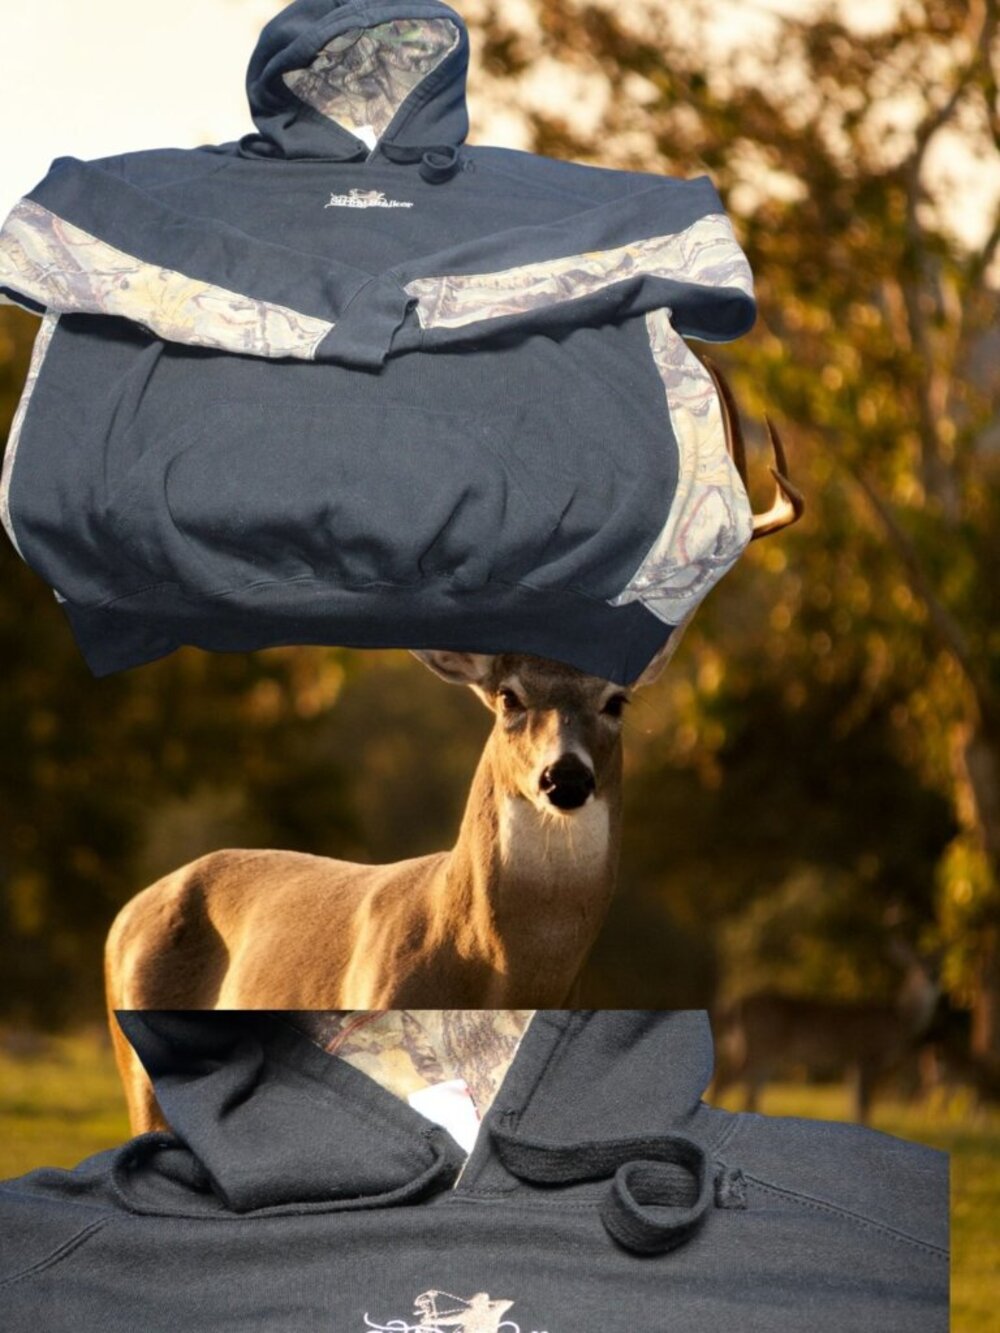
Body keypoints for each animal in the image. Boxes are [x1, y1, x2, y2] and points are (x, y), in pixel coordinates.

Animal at [105, 359, 803, 1132]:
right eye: (509, 698)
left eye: (616, 700)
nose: (565, 778)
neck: (493, 970)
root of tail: (125, 915)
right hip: (137, 1075)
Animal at [711, 940, 941, 1124]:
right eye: (917, 964)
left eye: (938, 964)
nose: (933, 977)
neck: (899, 1018)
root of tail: (734, 1006)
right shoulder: (867, 1055)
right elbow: (864, 1104)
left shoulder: (852, 1062)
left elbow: (854, 1102)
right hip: (758, 1047)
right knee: (724, 1081)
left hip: (760, 1053)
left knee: (750, 1091)